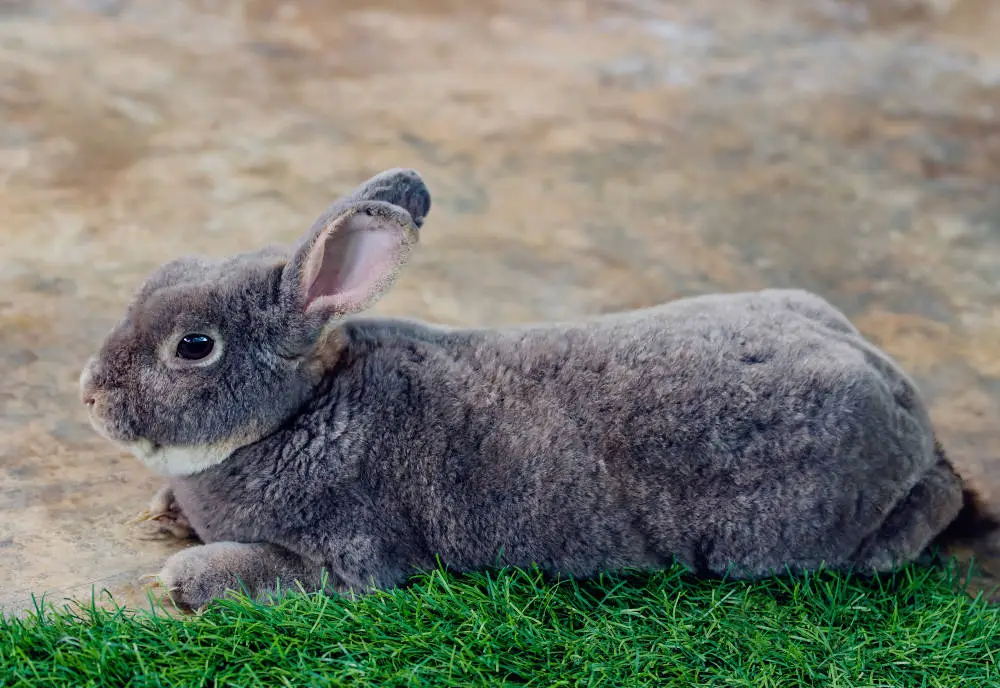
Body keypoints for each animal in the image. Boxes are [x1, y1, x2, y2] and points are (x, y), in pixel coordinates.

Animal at [80, 169, 1000, 612]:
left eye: (194, 347)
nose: (88, 395)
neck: (300, 412)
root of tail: (902, 400)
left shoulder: (351, 558)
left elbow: (274, 572)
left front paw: (180, 578)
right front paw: (160, 515)